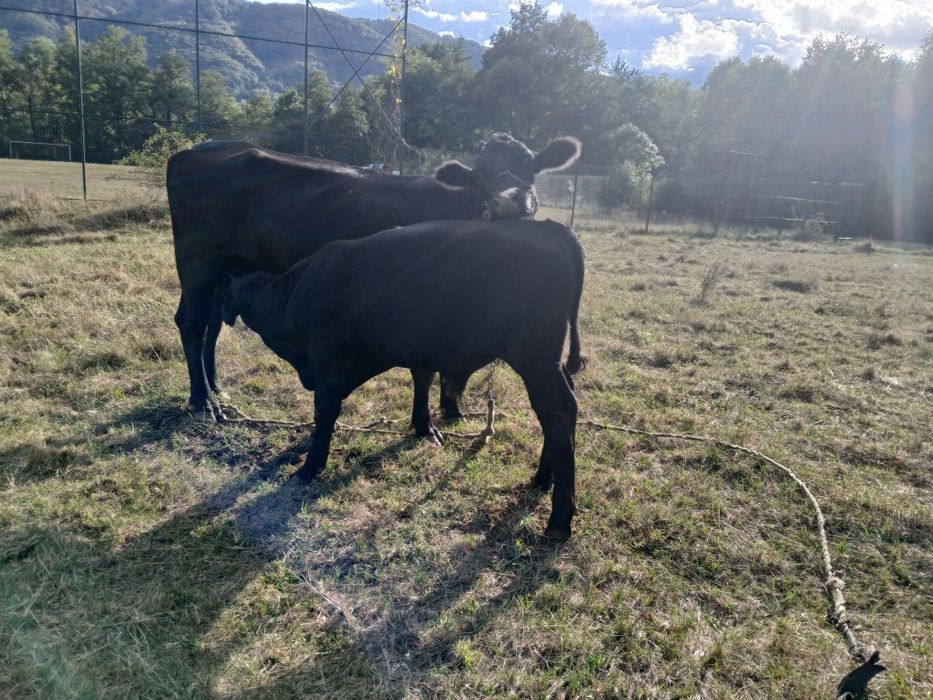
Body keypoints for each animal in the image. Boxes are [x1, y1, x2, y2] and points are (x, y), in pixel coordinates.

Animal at [167, 133, 581, 423]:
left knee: (212, 324)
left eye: (532, 164)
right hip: (197, 262)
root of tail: (197, 151)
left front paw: (450, 409)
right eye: (479, 173)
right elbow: (429, 364)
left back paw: (216, 391)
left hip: (225, 270)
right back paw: (203, 403)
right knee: (192, 324)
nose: (509, 199)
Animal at [221, 217, 586, 540]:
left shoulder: (327, 366)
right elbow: (421, 380)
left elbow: (324, 415)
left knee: (557, 414)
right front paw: (425, 428)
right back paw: (543, 478)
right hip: (549, 362)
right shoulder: (417, 348)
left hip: (534, 359)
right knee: (564, 408)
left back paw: (558, 519)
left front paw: (309, 468)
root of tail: (548, 228)